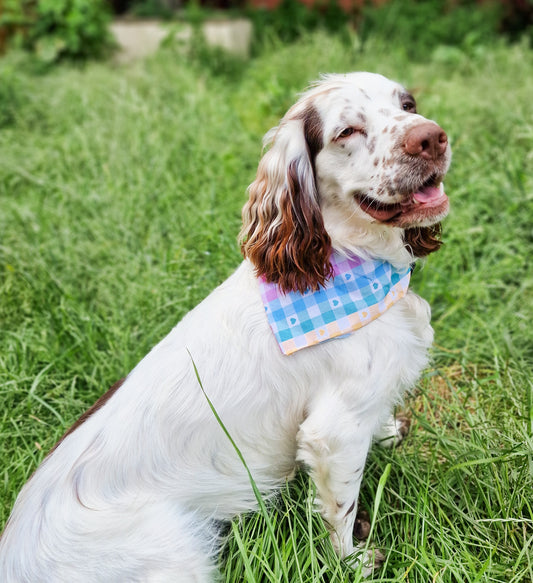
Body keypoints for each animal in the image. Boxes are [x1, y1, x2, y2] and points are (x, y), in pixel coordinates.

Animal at [0, 70, 448, 580]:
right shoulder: (334, 432)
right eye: (347, 131)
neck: (348, 260)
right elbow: (340, 510)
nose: (431, 137)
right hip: (176, 549)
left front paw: (389, 430)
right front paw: (351, 561)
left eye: (408, 104)